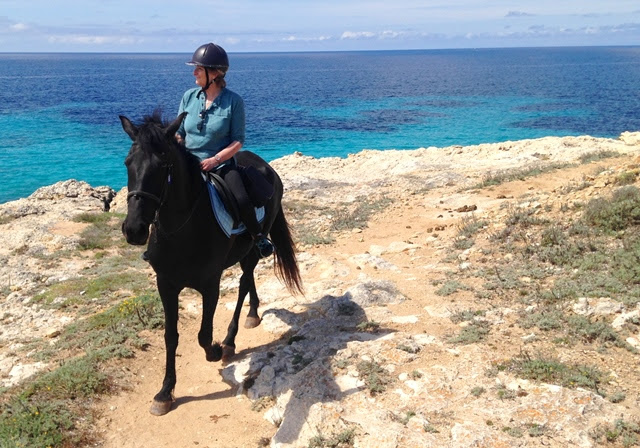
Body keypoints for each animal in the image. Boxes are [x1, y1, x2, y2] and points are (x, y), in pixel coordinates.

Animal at [119, 111, 303, 416]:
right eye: (127, 163)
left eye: (163, 165)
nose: (134, 230)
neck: (183, 230)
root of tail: (265, 168)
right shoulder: (166, 285)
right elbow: (171, 336)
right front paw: (165, 393)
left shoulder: (210, 285)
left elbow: (204, 335)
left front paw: (216, 350)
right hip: (245, 252)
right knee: (248, 281)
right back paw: (253, 314)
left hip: (255, 247)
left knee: (243, 283)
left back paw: (229, 341)